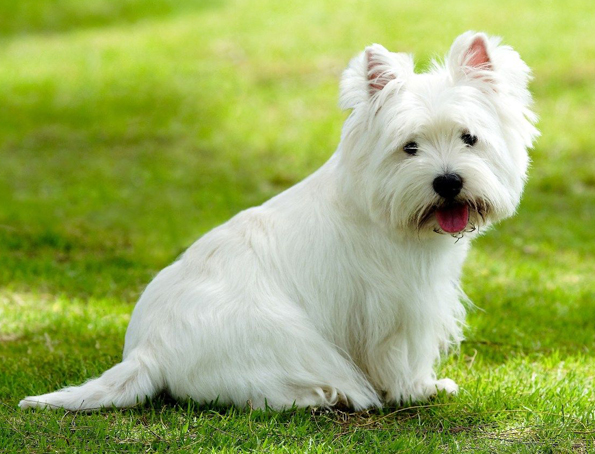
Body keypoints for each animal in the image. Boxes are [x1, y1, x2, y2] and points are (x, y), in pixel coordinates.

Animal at [18, 30, 540, 410]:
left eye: (469, 137)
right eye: (409, 147)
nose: (448, 181)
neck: (381, 208)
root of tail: (148, 352)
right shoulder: (398, 306)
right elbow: (401, 356)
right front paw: (421, 389)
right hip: (282, 335)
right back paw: (325, 393)